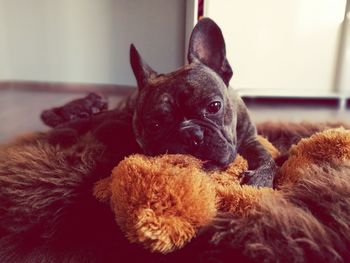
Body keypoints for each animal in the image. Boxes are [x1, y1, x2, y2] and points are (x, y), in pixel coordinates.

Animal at [46, 18, 276, 188]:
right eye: (155, 125)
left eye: (214, 106)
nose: (191, 134)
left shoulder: (251, 139)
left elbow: (268, 158)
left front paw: (259, 178)